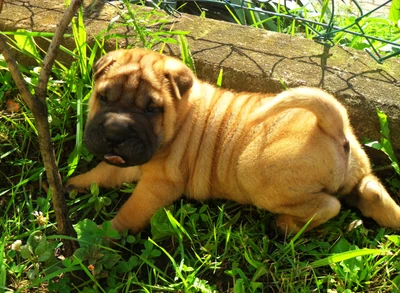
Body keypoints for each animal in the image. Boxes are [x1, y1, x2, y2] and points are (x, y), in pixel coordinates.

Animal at [65, 49, 400, 234]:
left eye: (152, 109)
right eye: (103, 97)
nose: (115, 133)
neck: (180, 116)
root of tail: (332, 126)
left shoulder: (157, 185)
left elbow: (130, 212)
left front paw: (102, 237)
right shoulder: (131, 164)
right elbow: (103, 172)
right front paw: (73, 183)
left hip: (252, 171)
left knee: (330, 205)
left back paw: (286, 225)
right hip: (358, 174)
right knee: (373, 195)